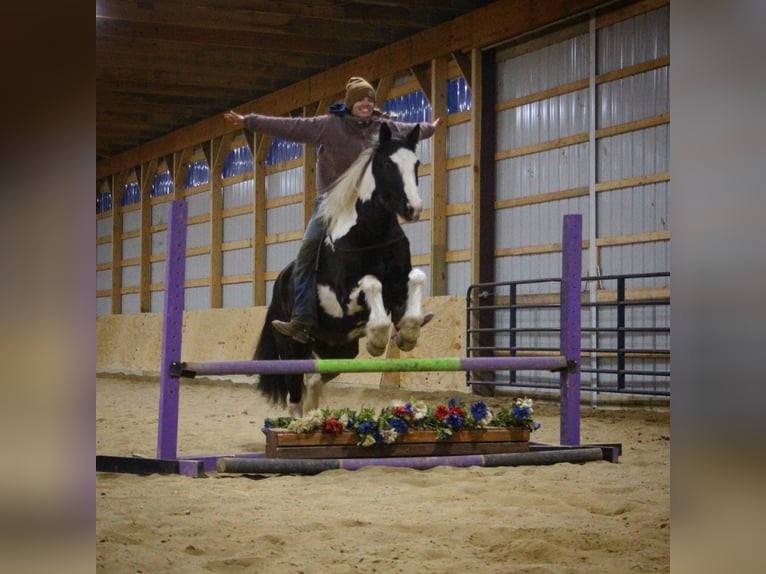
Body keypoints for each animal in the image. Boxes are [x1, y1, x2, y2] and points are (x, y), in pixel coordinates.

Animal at [255, 122, 428, 418]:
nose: (413, 209)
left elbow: (416, 279)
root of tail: (280, 283)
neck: (371, 235)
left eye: (415, 163)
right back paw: (298, 421)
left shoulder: (398, 285)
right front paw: (376, 340)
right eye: (386, 163)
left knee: (315, 379)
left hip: (339, 349)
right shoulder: (345, 299)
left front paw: (407, 332)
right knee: (295, 395)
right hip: (292, 348)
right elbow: (372, 285)